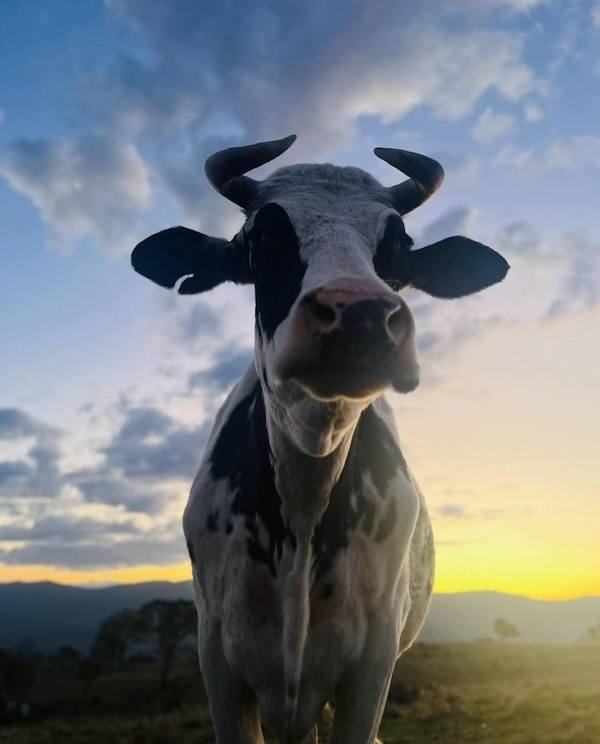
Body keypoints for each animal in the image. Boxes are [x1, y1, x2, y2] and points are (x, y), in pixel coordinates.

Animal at [131, 135, 509, 743]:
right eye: (261, 240)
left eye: (399, 247)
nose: (360, 314)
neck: (304, 501)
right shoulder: (218, 658)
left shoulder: (372, 663)